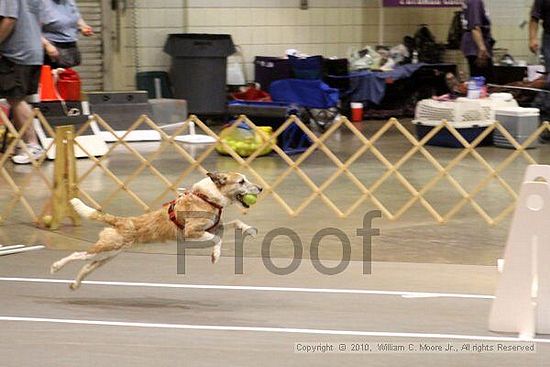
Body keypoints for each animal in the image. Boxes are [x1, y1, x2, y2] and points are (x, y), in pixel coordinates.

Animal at [50, 172, 264, 290]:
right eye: (241, 181)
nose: (261, 188)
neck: (206, 197)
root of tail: (120, 221)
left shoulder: (214, 226)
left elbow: (234, 222)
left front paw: (249, 229)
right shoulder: (192, 232)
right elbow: (216, 239)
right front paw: (216, 255)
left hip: (107, 256)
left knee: (86, 266)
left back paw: (75, 284)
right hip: (104, 249)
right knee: (77, 254)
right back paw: (56, 267)